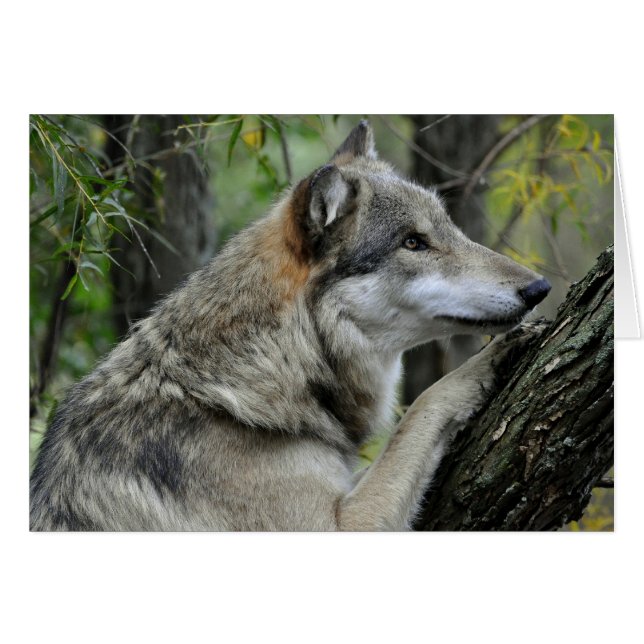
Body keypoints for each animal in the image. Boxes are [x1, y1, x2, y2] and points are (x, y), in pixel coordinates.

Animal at [30, 121, 551, 531]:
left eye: (449, 230)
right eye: (413, 243)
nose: (539, 288)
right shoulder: (339, 526)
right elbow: (425, 403)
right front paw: (486, 362)